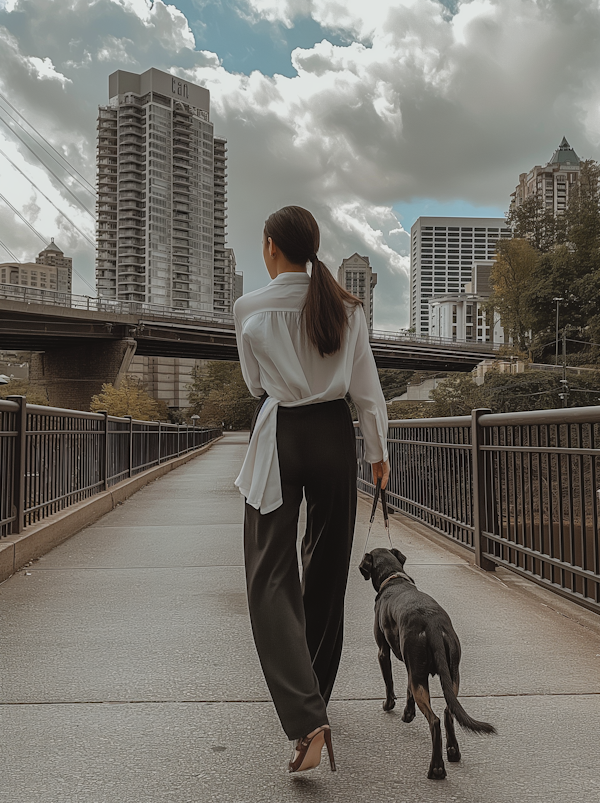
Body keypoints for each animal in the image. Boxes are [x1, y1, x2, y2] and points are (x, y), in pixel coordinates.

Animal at [358, 548, 494, 780]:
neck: (394, 578)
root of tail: (433, 623)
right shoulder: (411, 666)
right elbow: (407, 690)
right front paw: (407, 713)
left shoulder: (383, 652)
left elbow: (389, 683)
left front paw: (389, 705)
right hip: (450, 674)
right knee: (448, 712)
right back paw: (453, 751)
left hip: (420, 676)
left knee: (435, 720)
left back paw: (436, 768)